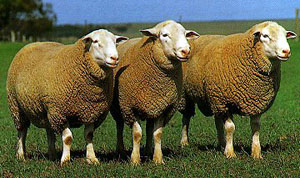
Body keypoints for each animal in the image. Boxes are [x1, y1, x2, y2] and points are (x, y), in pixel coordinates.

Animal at [5, 29, 127, 165]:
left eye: (115, 41)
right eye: (95, 41)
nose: (114, 58)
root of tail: (32, 44)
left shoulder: (91, 112)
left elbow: (89, 135)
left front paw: (92, 158)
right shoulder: (60, 113)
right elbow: (68, 138)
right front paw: (65, 160)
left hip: (47, 110)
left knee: (49, 131)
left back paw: (52, 155)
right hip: (16, 106)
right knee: (22, 131)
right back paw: (21, 155)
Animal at [110, 19, 199, 164]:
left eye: (185, 34)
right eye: (164, 35)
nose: (185, 51)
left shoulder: (164, 108)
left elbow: (157, 134)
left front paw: (158, 159)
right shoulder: (130, 108)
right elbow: (137, 133)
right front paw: (135, 160)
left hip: (152, 106)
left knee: (149, 127)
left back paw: (147, 151)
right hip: (118, 107)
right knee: (119, 126)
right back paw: (120, 150)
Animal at [177, 21, 296, 159]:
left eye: (285, 35)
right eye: (265, 36)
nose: (286, 51)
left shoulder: (256, 102)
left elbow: (255, 127)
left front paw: (256, 153)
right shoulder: (225, 102)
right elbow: (230, 128)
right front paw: (230, 153)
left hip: (215, 98)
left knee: (217, 122)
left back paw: (222, 143)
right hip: (187, 96)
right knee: (186, 117)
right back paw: (184, 142)